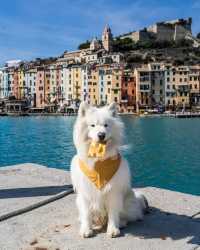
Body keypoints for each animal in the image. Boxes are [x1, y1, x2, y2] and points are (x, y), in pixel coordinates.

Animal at [70, 102, 147, 238]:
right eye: (93, 125)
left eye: (106, 125)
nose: (101, 135)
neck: (99, 162)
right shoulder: (85, 192)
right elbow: (86, 213)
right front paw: (86, 229)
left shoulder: (113, 192)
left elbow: (113, 213)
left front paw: (113, 229)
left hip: (128, 202)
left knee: (129, 215)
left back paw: (121, 222)